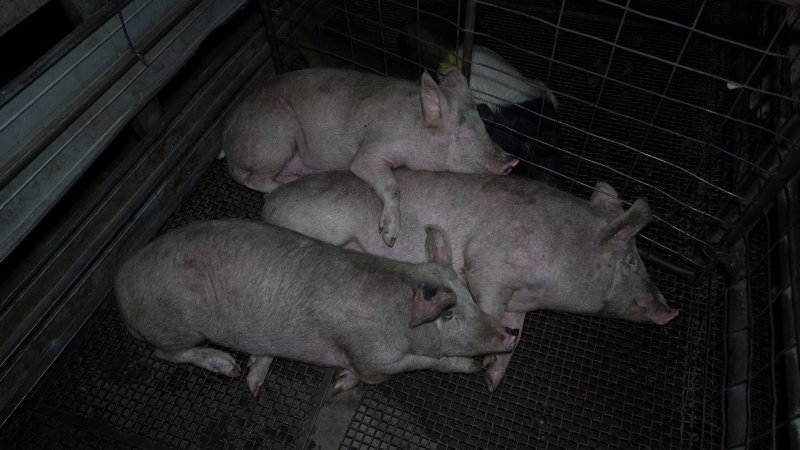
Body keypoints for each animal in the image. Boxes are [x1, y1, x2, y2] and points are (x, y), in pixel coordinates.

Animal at [114, 220, 520, 396]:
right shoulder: (370, 355)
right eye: (448, 315)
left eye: (470, 296)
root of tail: (120, 287)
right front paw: (342, 383)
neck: (397, 320)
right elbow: (407, 367)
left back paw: (253, 380)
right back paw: (228, 367)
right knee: (164, 353)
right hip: (174, 323)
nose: (510, 334)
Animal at [220, 68, 520, 248]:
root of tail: (228, 131)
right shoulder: (371, 149)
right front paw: (389, 237)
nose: (511, 162)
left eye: (484, 127)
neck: (414, 127)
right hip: (278, 136)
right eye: (466, 134)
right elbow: (386, 181)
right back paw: (290, 179)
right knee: (251, 177)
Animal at [262, 171, 680, 392]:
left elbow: (516, 328)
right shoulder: (490, 265)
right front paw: (486, 359)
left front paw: (493, 379)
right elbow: (488, 305)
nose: (671, 312)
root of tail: (270, 201)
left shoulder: (520, 300)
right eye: (630, 262)